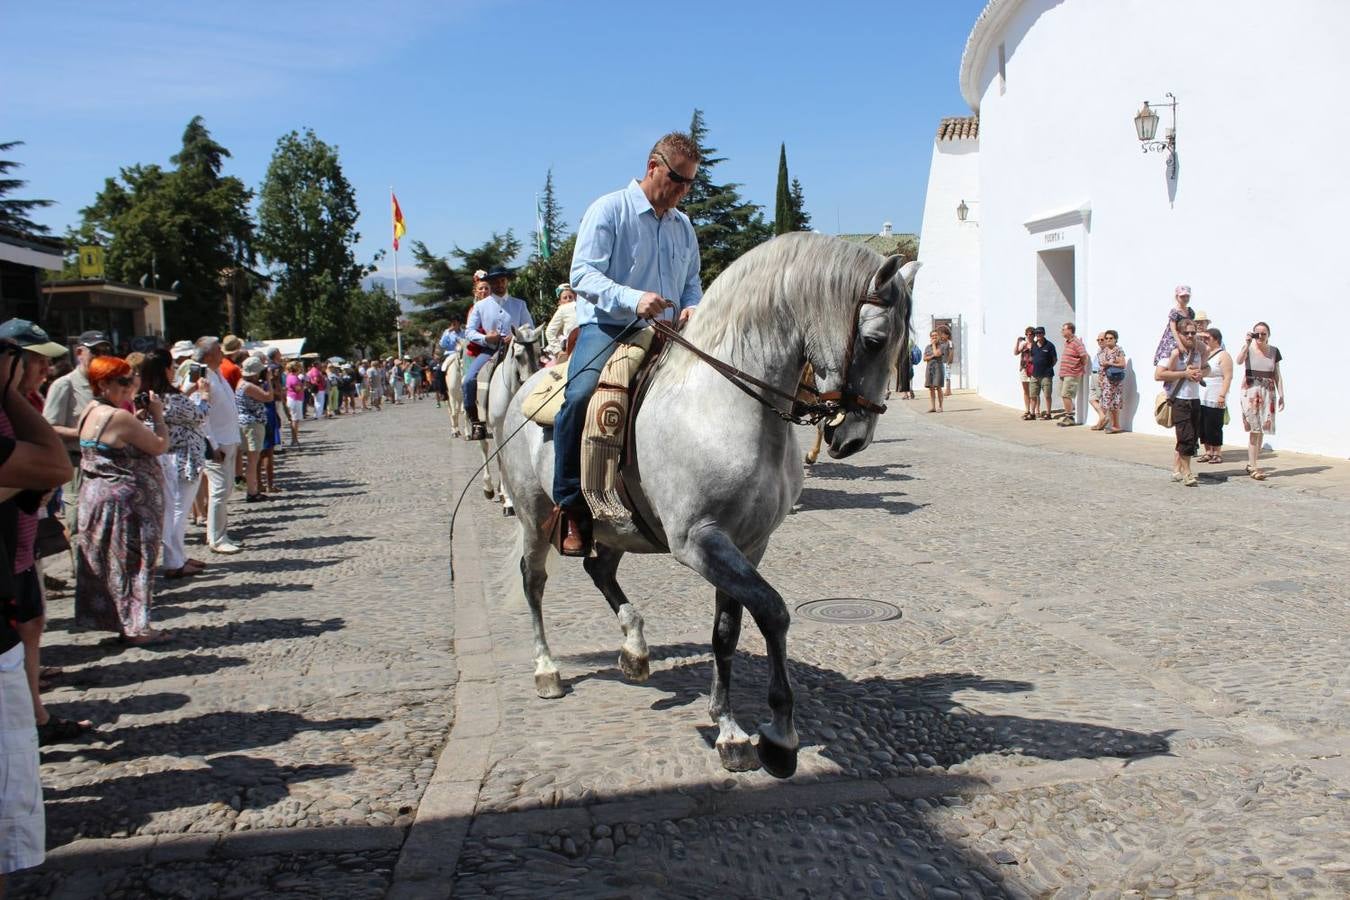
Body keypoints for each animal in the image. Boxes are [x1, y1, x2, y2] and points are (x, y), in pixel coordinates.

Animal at [482, 325, 542, 513]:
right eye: (518, 356)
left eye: (540, 353)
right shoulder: (497, 429)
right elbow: (502, 460)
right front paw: (509, 501)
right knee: (484, 448)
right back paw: (489, 488)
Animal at [497, 233, 917, 778]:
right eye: (873, 340)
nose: (853, 438)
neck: (724, 404)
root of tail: (524, 389)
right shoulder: (699, 542)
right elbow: (773, 611)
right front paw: (778, 735)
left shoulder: (749, 543)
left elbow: (728, 631)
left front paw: (730, 727)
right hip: (536, 516)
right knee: (534, 581)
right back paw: (547, 669)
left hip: (615, 525)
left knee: (599, 569)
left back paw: (635, 649)